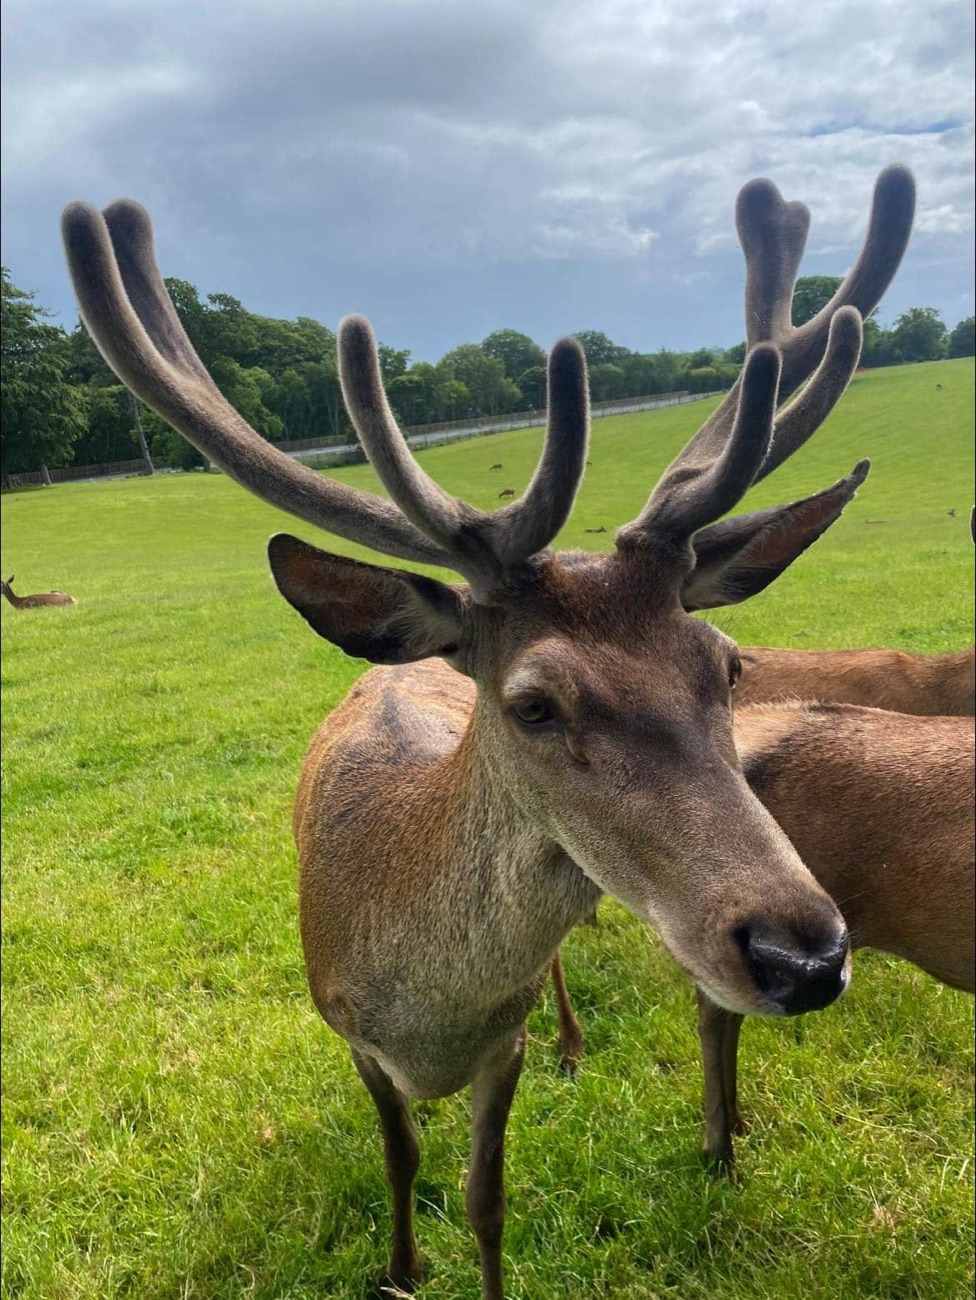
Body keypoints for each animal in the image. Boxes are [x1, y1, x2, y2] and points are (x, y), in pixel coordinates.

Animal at [62, 163, 914, 1298]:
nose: (805, 955)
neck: (430, 1011)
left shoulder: (497, 1045)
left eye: (727, 664)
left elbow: (486, 1197)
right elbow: (400, 1160)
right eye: (533, 703)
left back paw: (574, 1040)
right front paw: (400, 1267)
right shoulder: (347, 1030)